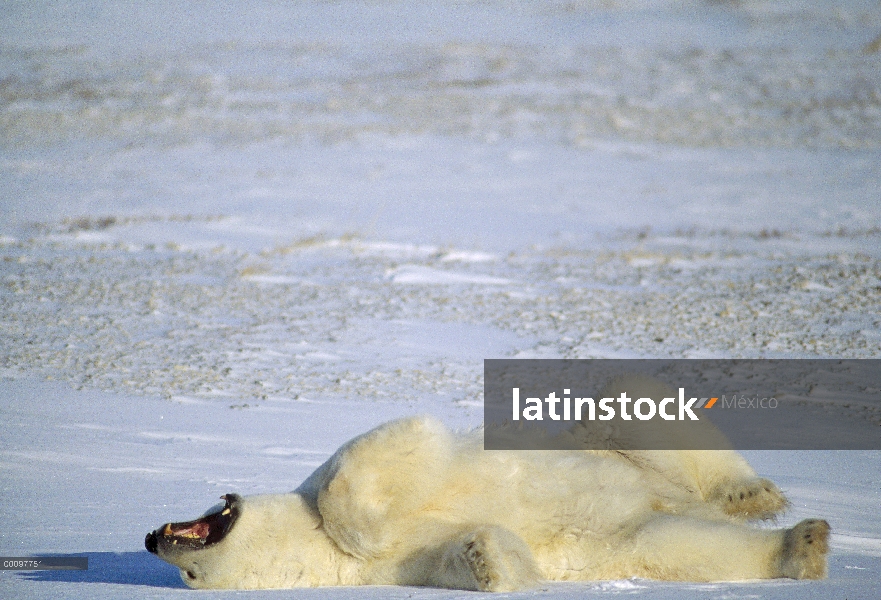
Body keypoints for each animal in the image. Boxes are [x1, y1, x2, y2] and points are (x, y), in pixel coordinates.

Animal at [146, 380, 832, 592]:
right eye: (190, 577)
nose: (154, 539)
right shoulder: (403, 570)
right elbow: (452, 555)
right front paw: (492, 560)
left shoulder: (340, 472)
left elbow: (384, 450)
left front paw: (363, 527)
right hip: (639, 530)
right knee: (687, 546)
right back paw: (801, 546)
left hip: (604, 441)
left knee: (636, 407)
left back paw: (751, 494)